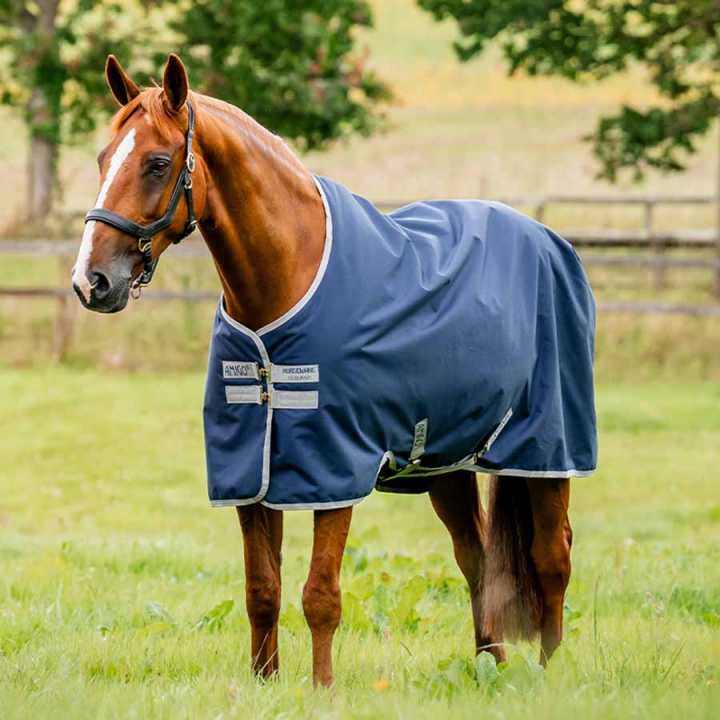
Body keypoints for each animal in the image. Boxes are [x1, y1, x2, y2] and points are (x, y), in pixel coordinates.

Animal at [72, 53, 596, 687]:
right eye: (104, 159)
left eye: (156, 162)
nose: (91, 281)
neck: (288, 281)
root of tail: (548, 240)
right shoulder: (250, 471)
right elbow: (261, 591)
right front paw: (264, 685)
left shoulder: (334, 467)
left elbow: (320, 595)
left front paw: (322, 691)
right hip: (445, 462)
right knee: (476, 559)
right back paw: (488, 667)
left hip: (546, 450)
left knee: (552, 557)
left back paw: (550, 673)